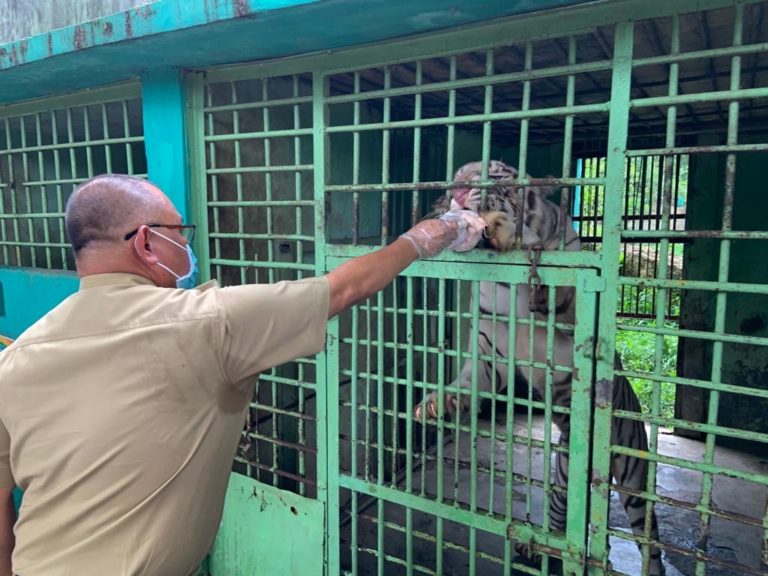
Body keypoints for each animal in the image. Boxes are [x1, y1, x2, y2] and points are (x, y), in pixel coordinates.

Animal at [416, 159, 664, 576]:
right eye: (454, 176)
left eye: (496, 175)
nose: (458, 192)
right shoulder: (490, 353)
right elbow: (468, 378)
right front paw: (441, 402)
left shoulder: (573, 311)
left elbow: (557, 284)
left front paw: (505, 229)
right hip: (566, 469)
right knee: (575, 520)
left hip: (632, 473)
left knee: (649, 540)